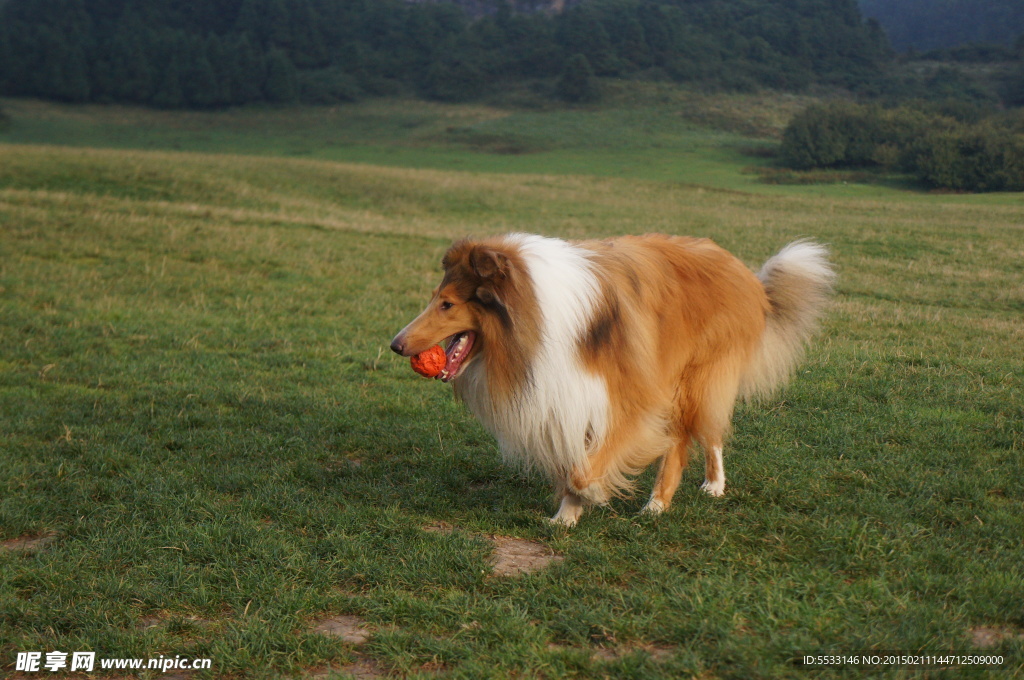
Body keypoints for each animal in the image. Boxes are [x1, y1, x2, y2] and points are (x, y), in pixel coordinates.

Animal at [389, 233, 831, 524]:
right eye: (434, 298)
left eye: (447, 304)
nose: (395, 344)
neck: (535, 318)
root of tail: (744, 273)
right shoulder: (565, 394)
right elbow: (574, 461)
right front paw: (566, 517)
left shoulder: (631, 397)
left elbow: (588, 467)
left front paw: (591, 493)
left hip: (694, 376)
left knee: (697, 434)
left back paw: (681, 495)